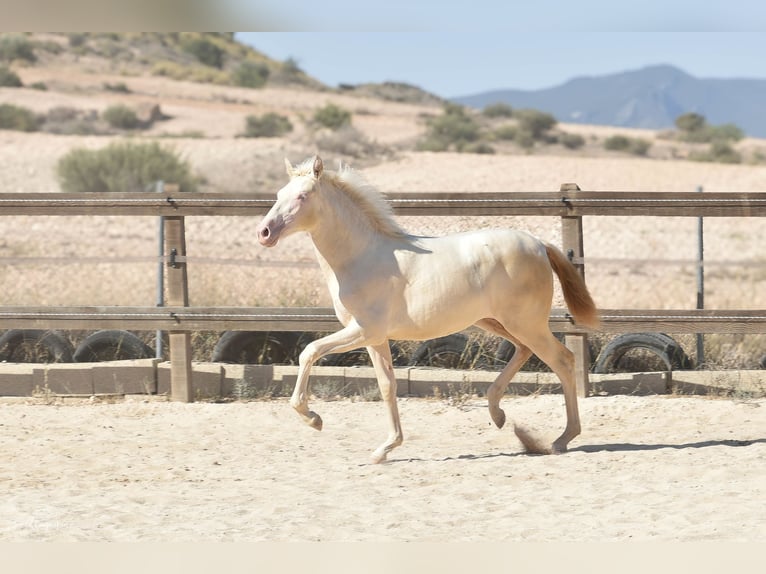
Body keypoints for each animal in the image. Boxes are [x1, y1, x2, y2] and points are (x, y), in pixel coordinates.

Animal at [258, 156, 600, 464]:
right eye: (279, 194)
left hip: (525, 322)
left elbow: (309, 351)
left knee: (562, 360)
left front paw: (313, 418)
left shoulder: (363, 330)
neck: (360, 257)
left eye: (302, 196)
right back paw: (499, 414)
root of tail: (539, 244)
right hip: (495, 321)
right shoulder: (375, 339)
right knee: (524, 351)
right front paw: (386, 449)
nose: (264, 233)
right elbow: (387, 385)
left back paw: (562, 438)